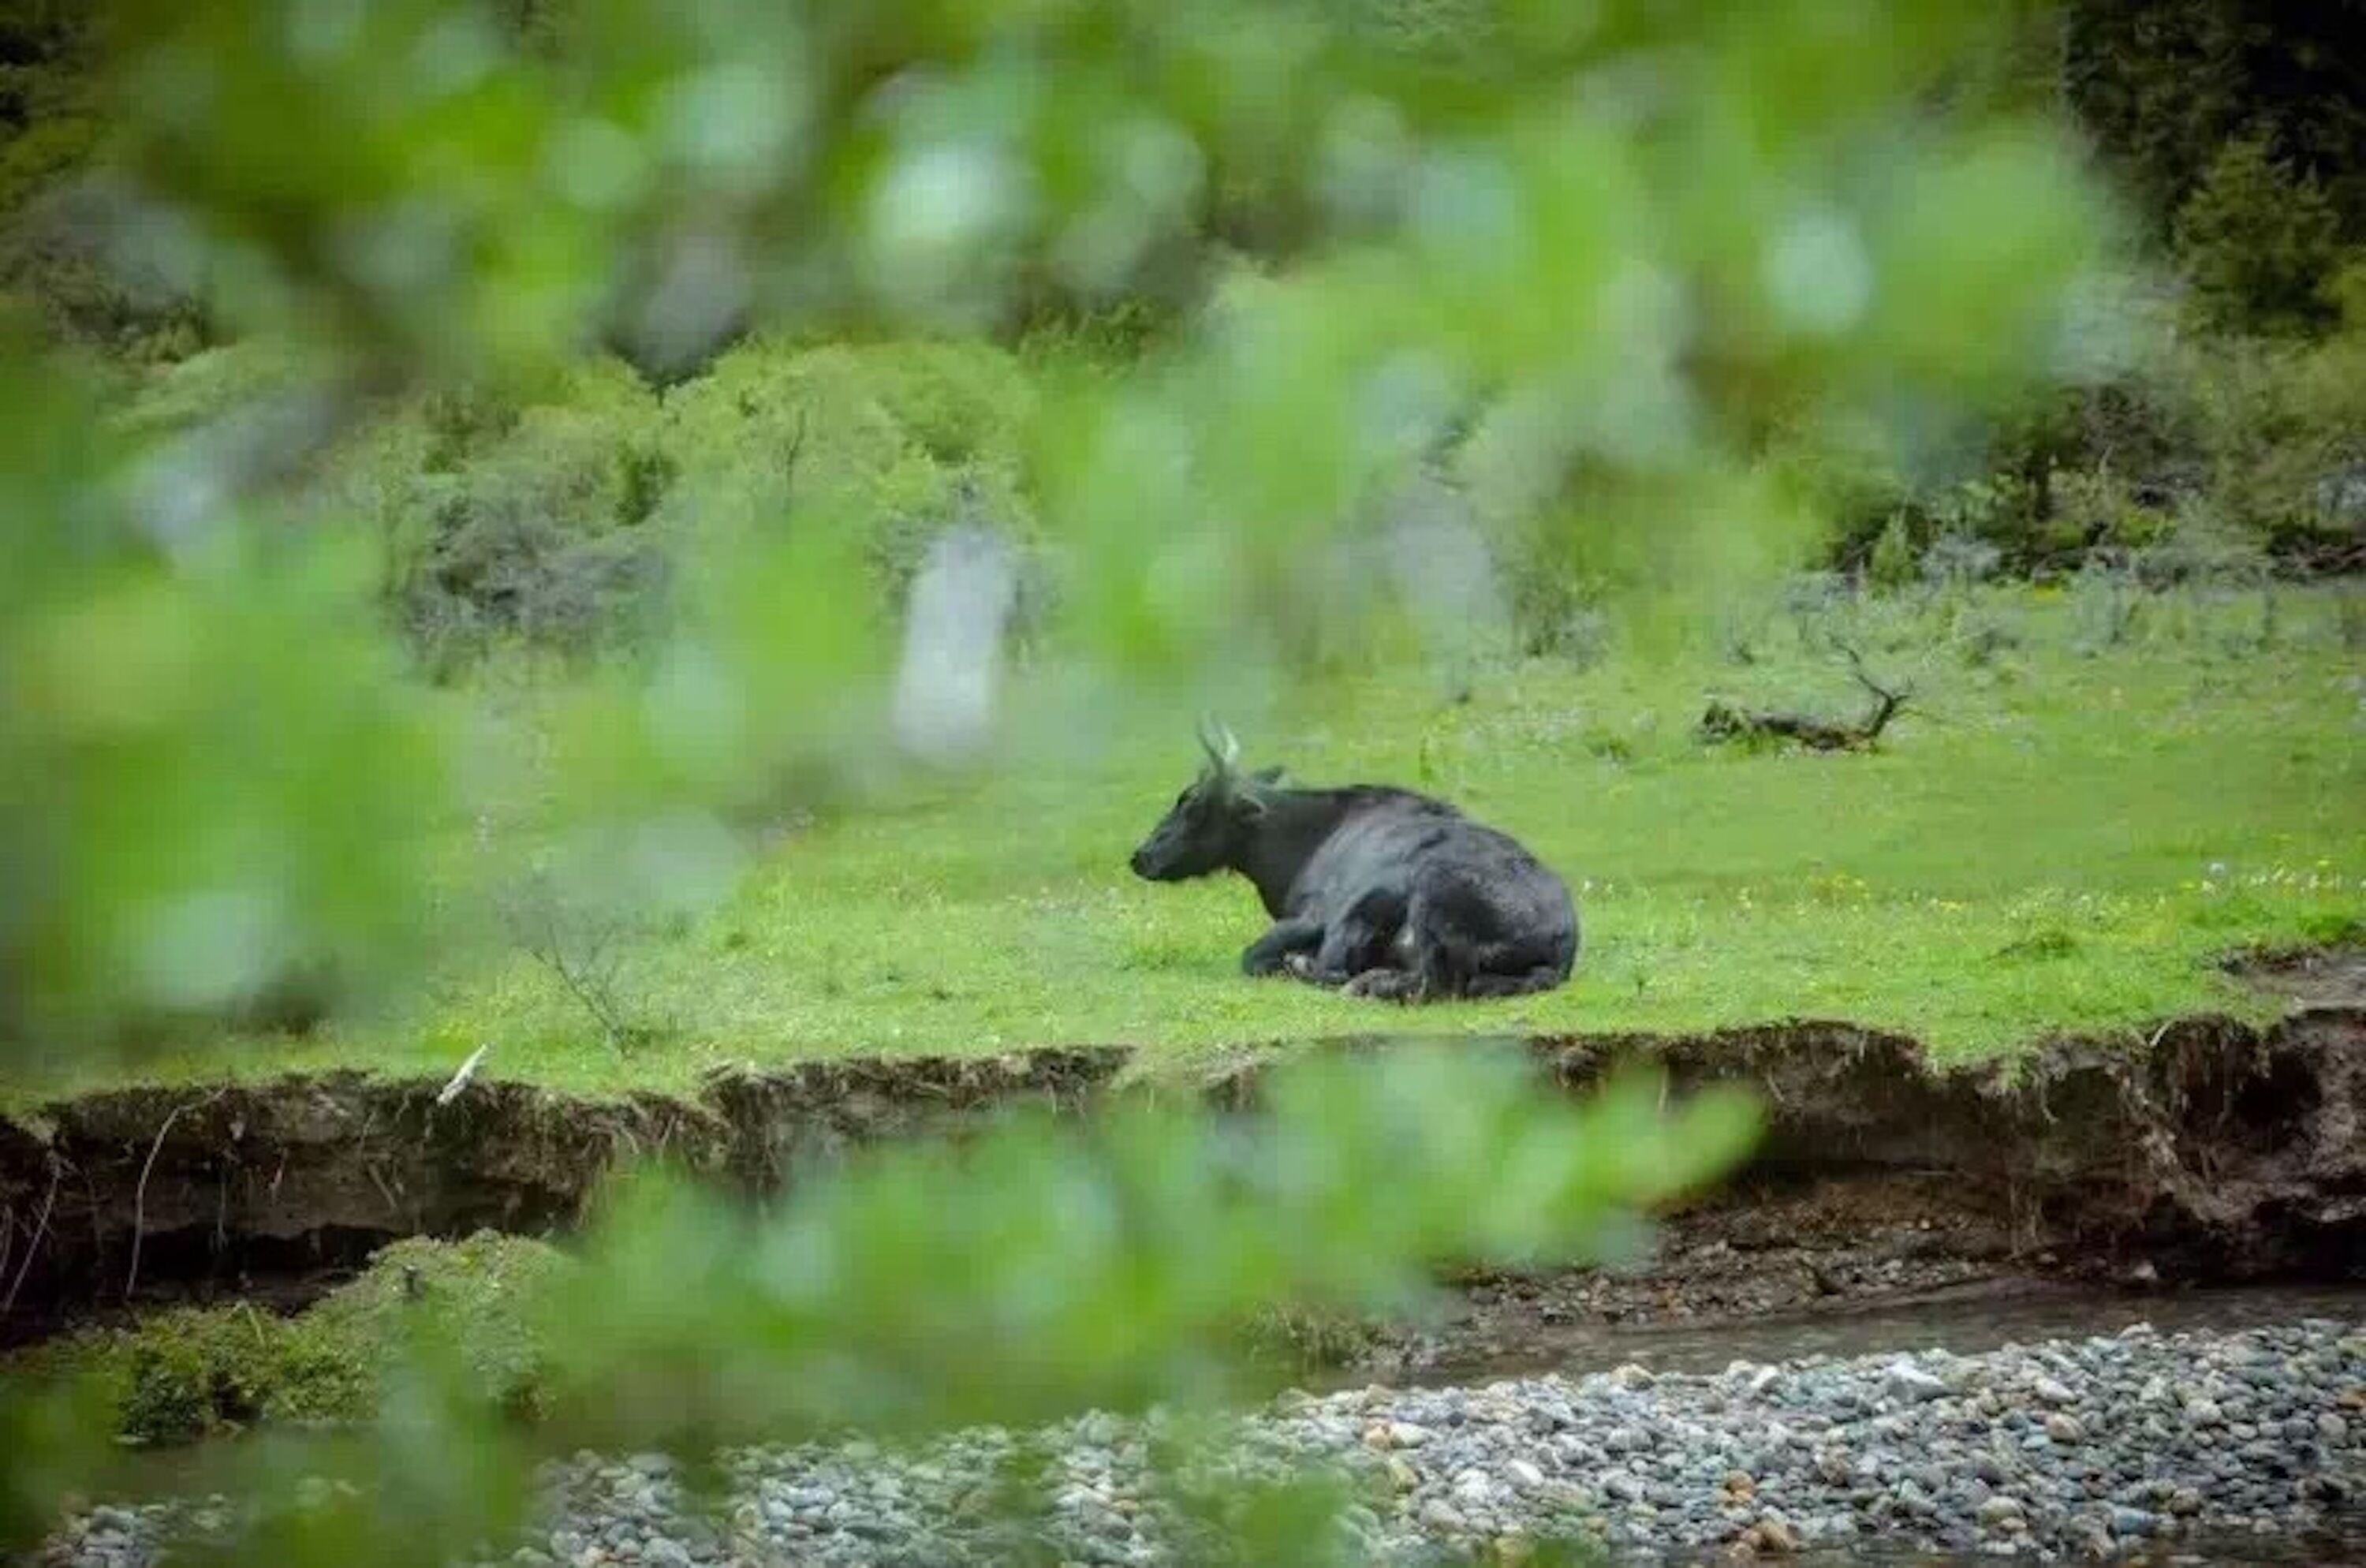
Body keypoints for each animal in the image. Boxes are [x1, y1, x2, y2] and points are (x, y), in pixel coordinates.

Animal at [1127, 721, 1580, 1001]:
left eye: (1192, 805)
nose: (1141, 856)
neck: (1301, 847)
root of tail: (1562, 941)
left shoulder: (1323, 916)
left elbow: (1257, 957)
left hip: (1425, 897)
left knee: (1420, 983)